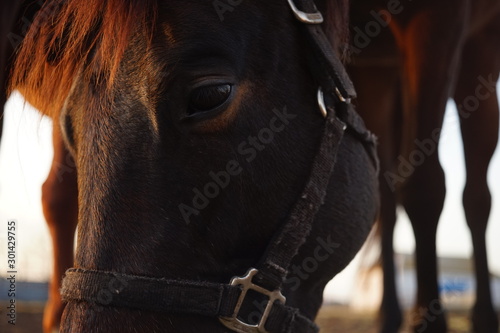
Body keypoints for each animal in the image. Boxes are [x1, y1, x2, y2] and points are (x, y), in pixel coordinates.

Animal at [348, 0, 500, 332]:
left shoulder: (441, 21)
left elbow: (426, 187)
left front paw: (429, 320)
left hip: (475, 56)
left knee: (476, 198)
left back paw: (483, 314)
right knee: (386, 203)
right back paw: (388, 314)